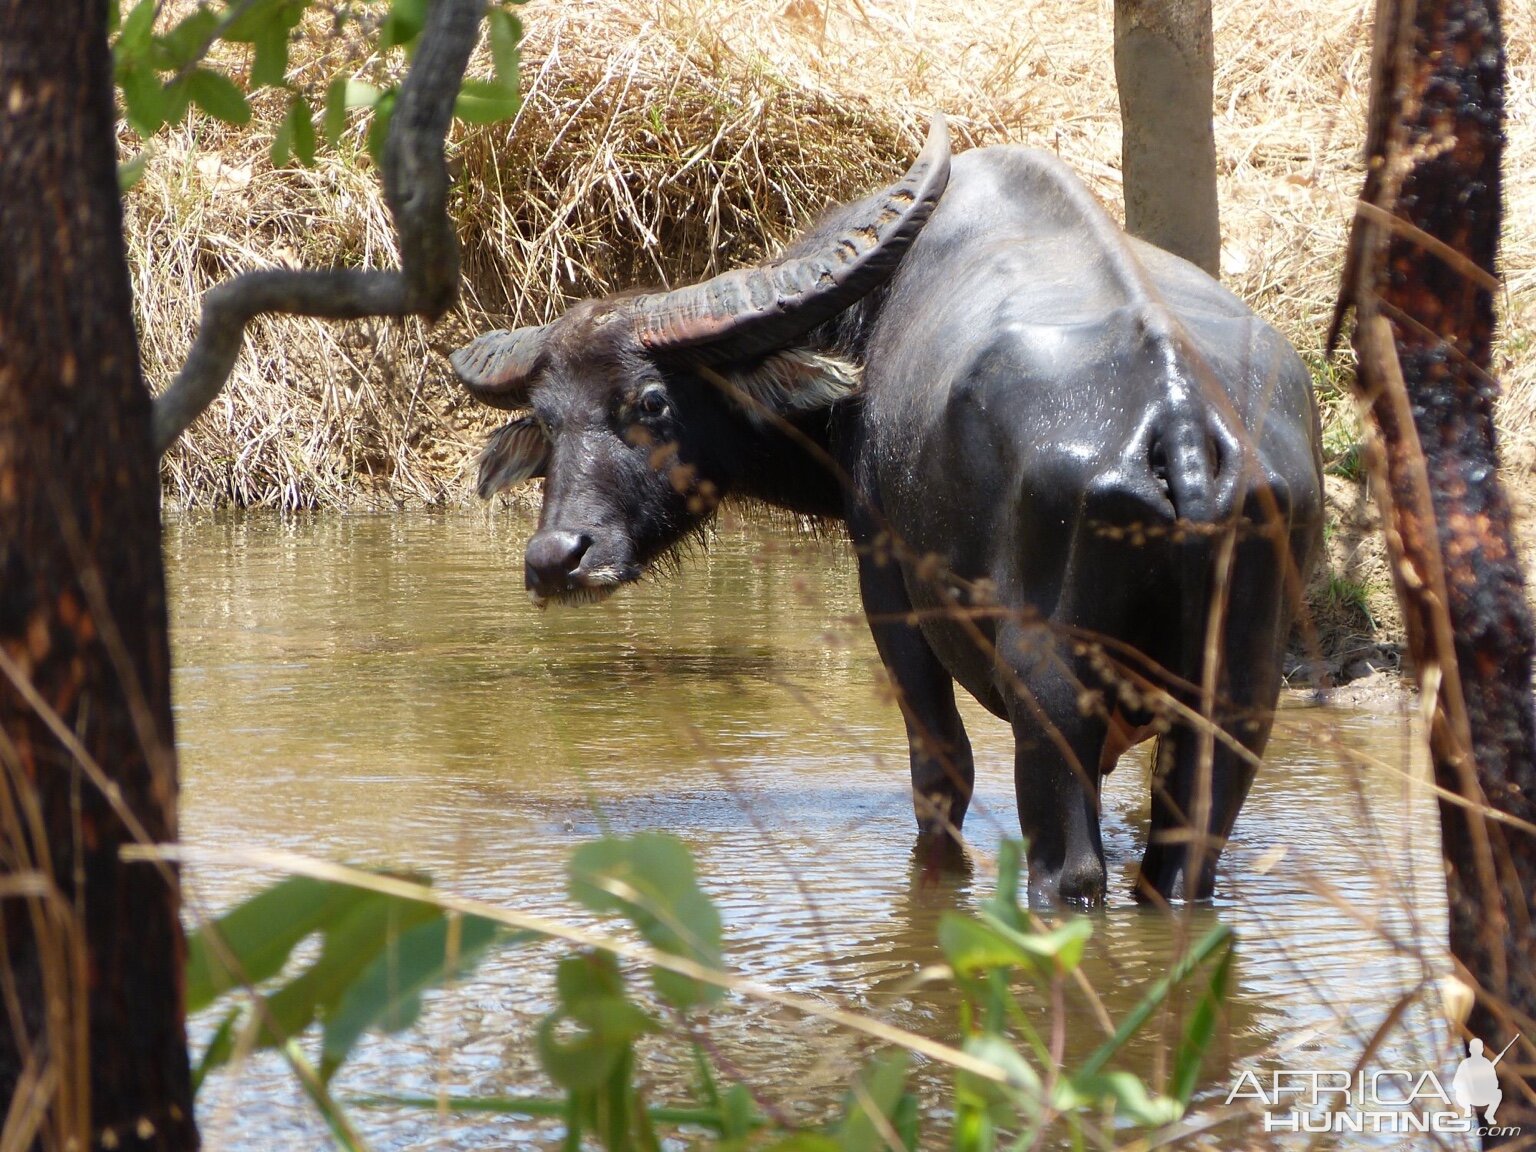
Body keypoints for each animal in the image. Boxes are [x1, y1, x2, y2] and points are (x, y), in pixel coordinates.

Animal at [448, 119, 1327, 909]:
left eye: (651, 402)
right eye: (548, 419)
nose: (559, 556)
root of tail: (1176, 413)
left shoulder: (888, 590)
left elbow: (941, 772)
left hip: (1049, 683)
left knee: (1069, 871)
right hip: (1241, 694)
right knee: (1179, 871)